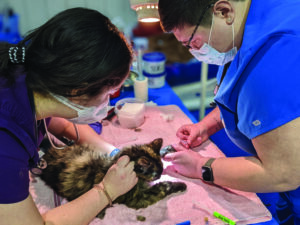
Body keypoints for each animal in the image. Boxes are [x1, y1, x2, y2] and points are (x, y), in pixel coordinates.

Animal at [39, 138, 186, 219]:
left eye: (161, 170)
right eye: (156, 174)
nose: (160, 175)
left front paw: (166, 149)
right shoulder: (138, 198)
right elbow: (164, 186)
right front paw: (181, 185)